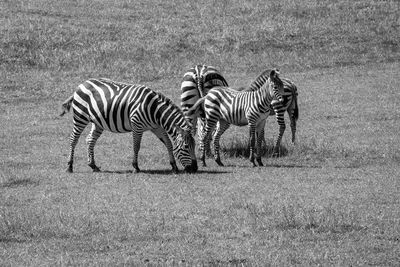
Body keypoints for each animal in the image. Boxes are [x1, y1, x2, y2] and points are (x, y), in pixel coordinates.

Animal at [59, 78, 198, 174]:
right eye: (186, 147)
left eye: (194, 145)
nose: (195, 169)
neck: (155, 110)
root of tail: (82, 84)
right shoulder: (137, 126)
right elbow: (136, 146)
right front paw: (135, 167)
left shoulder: (156, 127)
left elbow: (168, 143)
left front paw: (174, 166)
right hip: (80, 117)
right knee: (73, 139)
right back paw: (69, 166)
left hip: (97, 122)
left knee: (90, 140)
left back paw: (93, 165)